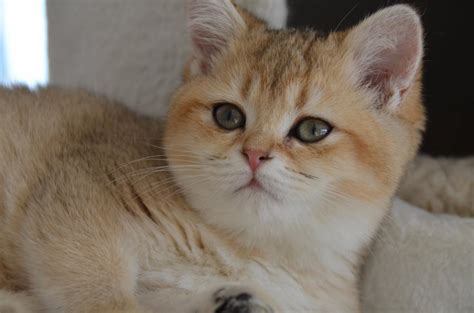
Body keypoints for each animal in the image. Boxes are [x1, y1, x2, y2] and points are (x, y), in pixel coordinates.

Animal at [0, 0, 424, 312]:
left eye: (312, 130)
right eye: (228, 116)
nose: (254, 154)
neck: (251, 252)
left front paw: (233, 302)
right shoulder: (76, 191)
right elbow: (103, 296)